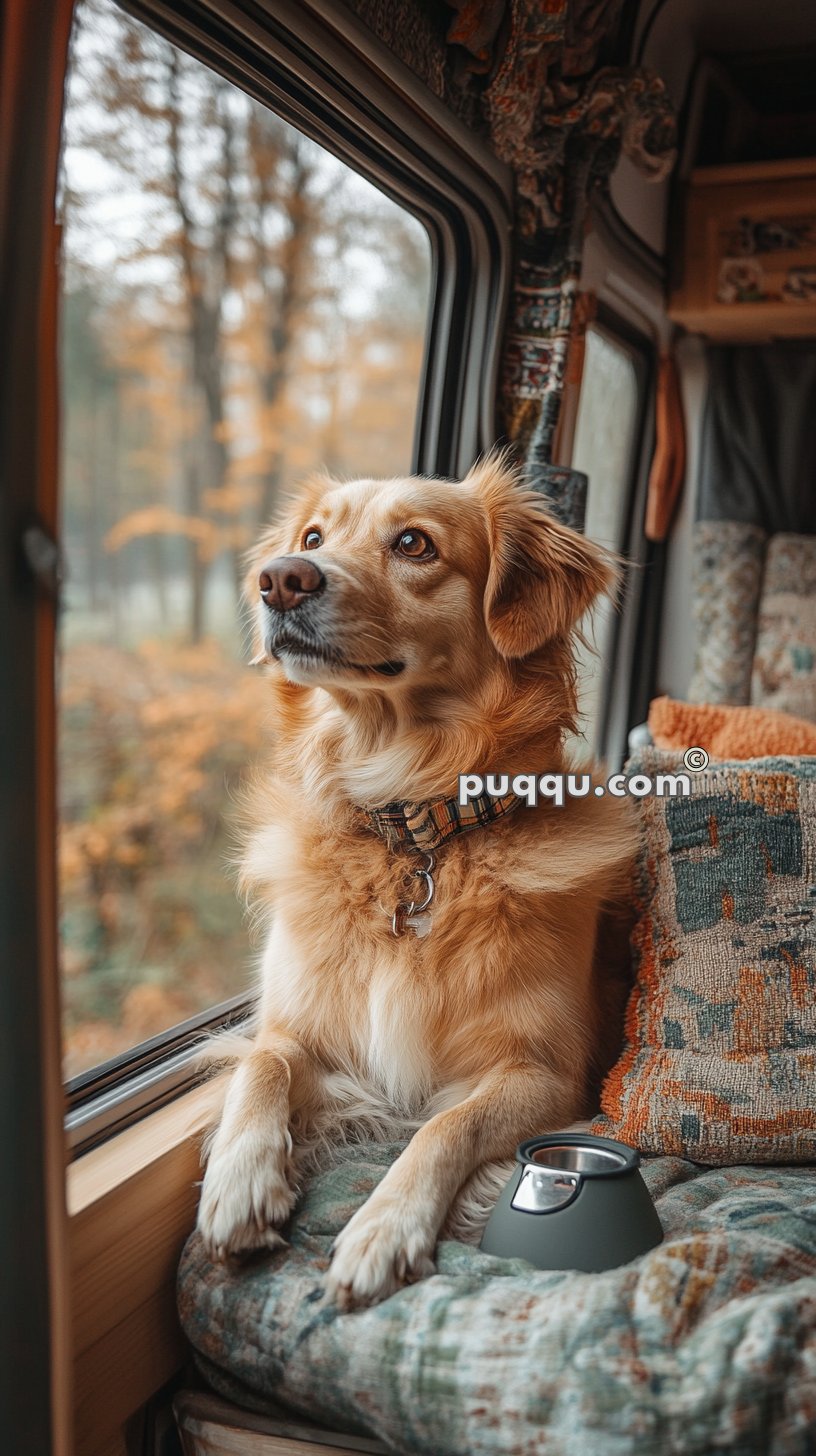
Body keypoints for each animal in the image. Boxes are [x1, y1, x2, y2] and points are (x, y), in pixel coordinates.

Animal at [196, 451, 638, 1310]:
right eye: (312, 537)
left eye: (413, 543)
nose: (281, 580)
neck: (414, 838)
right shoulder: (298, 1024)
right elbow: (264, 1062)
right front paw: (239, 1182)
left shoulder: (544, 1072)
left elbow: (444, 1125)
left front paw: (384, 1228)